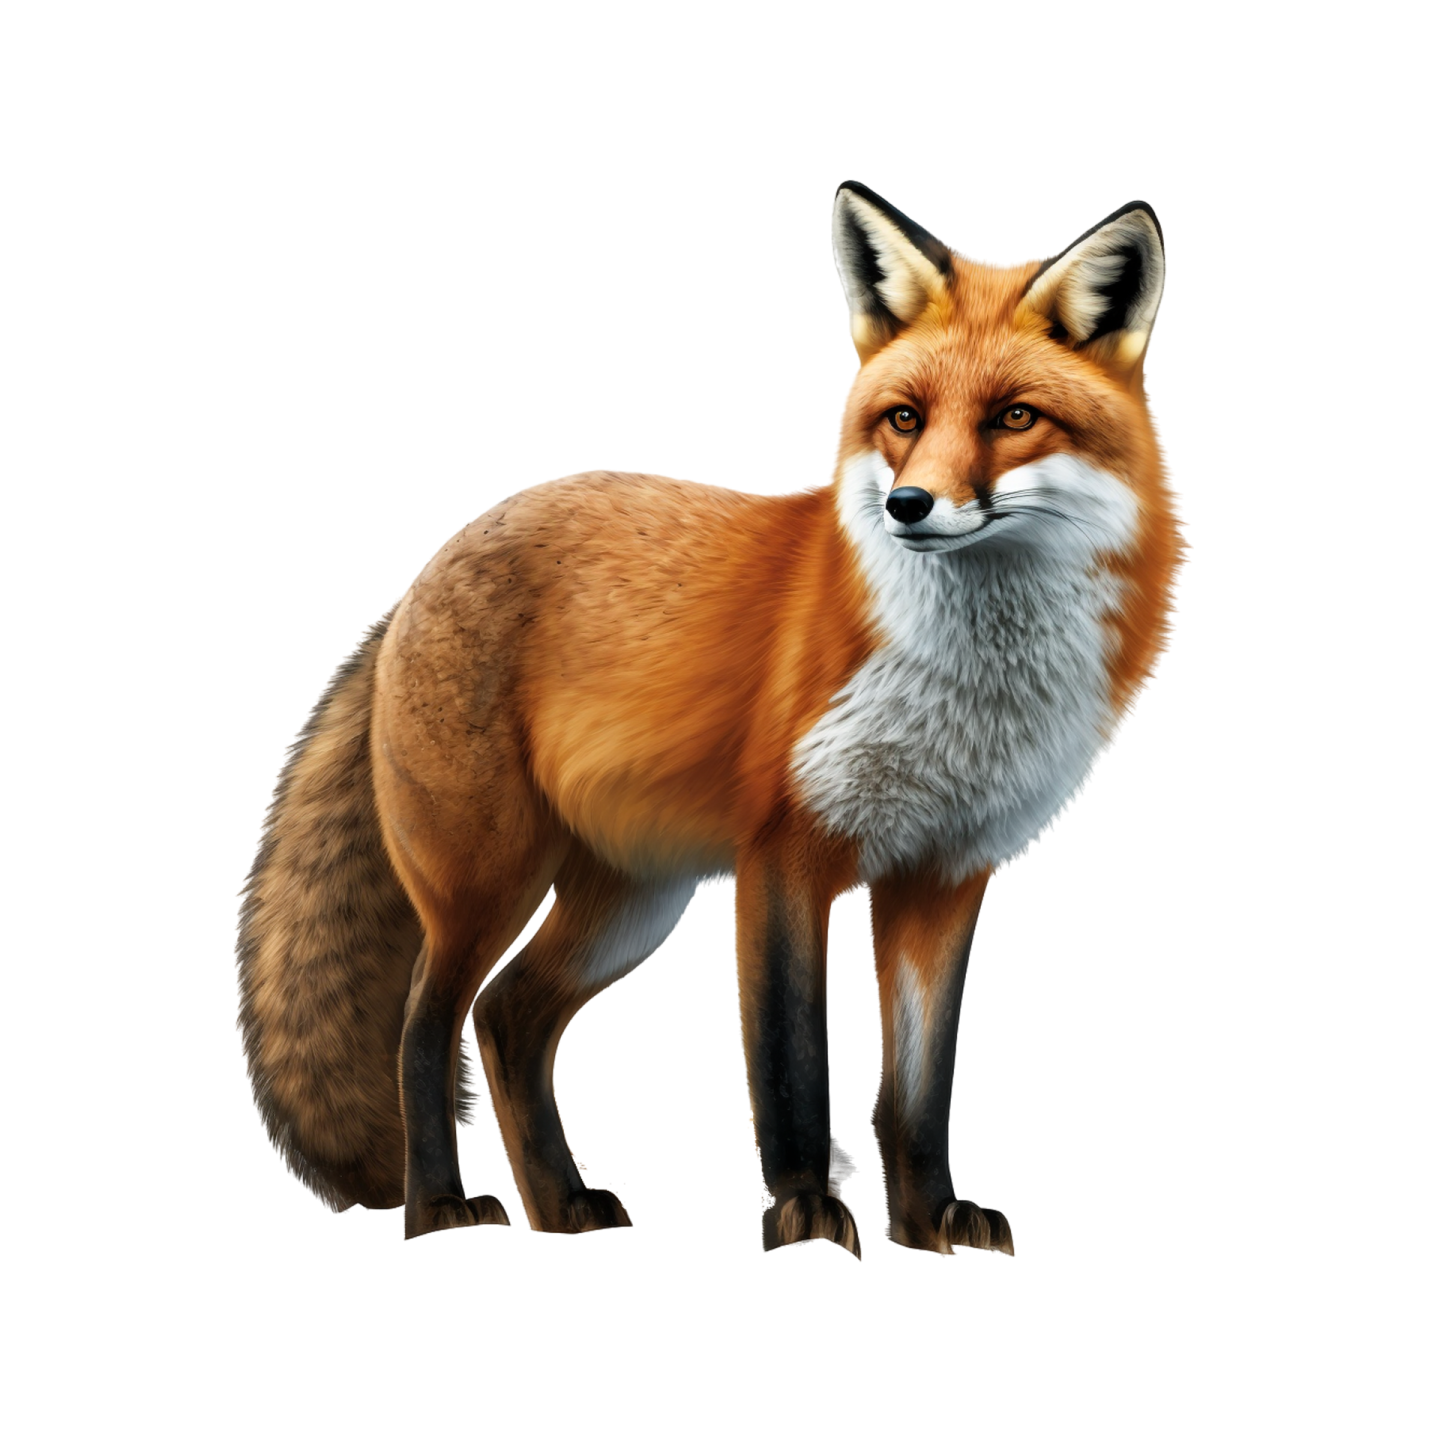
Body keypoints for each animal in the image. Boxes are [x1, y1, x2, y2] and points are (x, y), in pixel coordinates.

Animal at [235, 180, 1185, 1258]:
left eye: (1015, 417)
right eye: (904, 419)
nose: (908, 505)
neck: (967, 685)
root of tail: (426, 569)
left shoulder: (942, 876)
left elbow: (917, 1090)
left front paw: (929, 1219)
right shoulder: (784, 854)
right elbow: (789, 1061)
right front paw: (804, 1215)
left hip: (631, 905)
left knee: (509, 1016)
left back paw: (562, 1206)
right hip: (487, 880)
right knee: (425, 1029)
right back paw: (440, 1206)